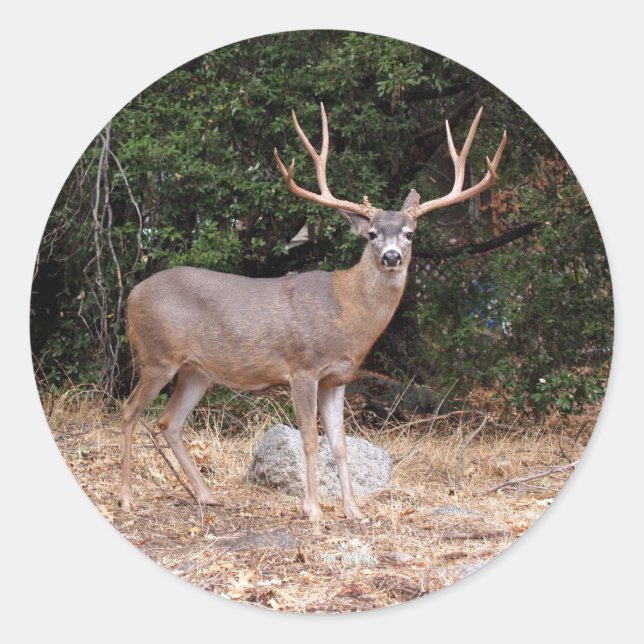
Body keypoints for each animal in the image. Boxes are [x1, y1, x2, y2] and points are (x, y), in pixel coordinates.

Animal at [119, 103, 506, 521]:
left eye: (410, 233)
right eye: (371, 234)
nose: (391, 257)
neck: (347, 314)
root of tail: (130, 296)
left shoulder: (338, 378)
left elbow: (340, 443)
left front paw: (354, 510)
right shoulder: (302, 368)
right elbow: (308, 439)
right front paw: (313, 509)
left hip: (196, 370)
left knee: (169, 421)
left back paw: (207, 495)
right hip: (157, 356)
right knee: (129, 410)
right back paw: (126, 498)